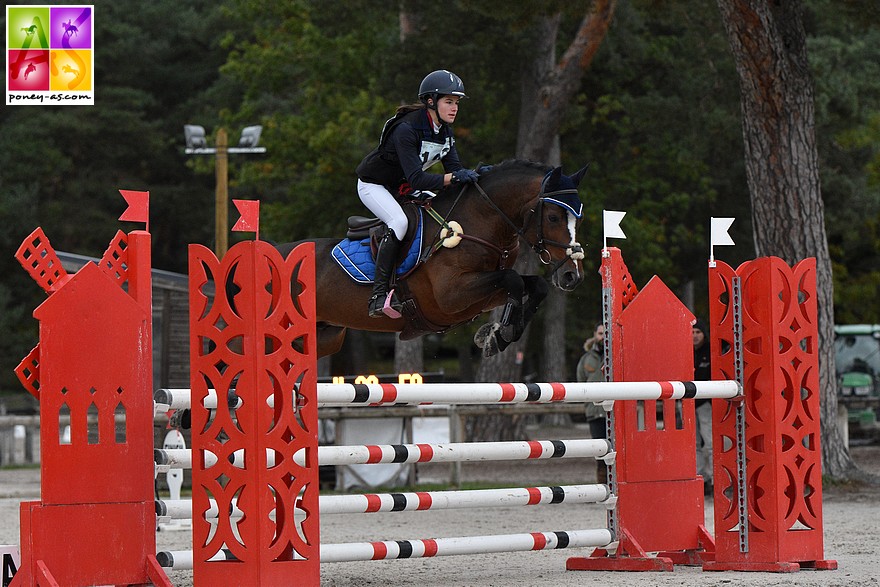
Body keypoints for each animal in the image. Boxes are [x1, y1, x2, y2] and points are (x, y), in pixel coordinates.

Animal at [278, 158, 588, 356]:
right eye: (553, 217)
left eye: (579, 219)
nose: (571, 276)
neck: (478, 222)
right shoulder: (451, 296)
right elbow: (513, 280)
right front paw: (500, 333)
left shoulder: (480, 296)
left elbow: (534, 285)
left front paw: (498, 337)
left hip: (325, 336)